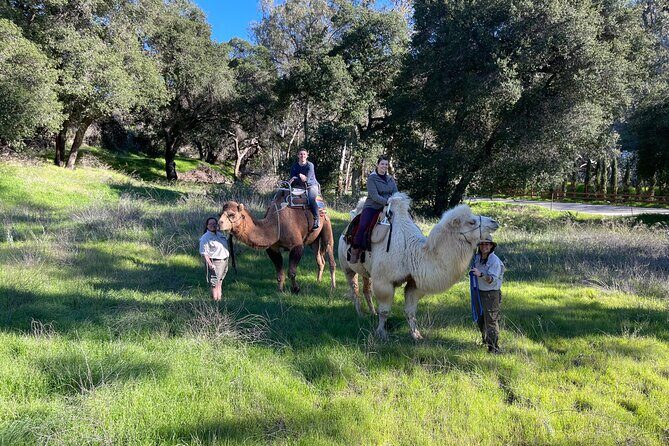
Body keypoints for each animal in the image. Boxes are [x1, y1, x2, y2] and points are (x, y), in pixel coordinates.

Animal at [338, 193, 499, 340]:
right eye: (471, 222)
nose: (494, 222)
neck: (411, 254)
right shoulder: (384, 281)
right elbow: (385, 311)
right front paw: (381, 334)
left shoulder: (414, 284)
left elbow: (411, 312)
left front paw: (416, 335)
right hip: (346, 267)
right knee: (354, 288)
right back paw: (360, 313)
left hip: (368, 271)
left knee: (366, 287)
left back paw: (372, 312)